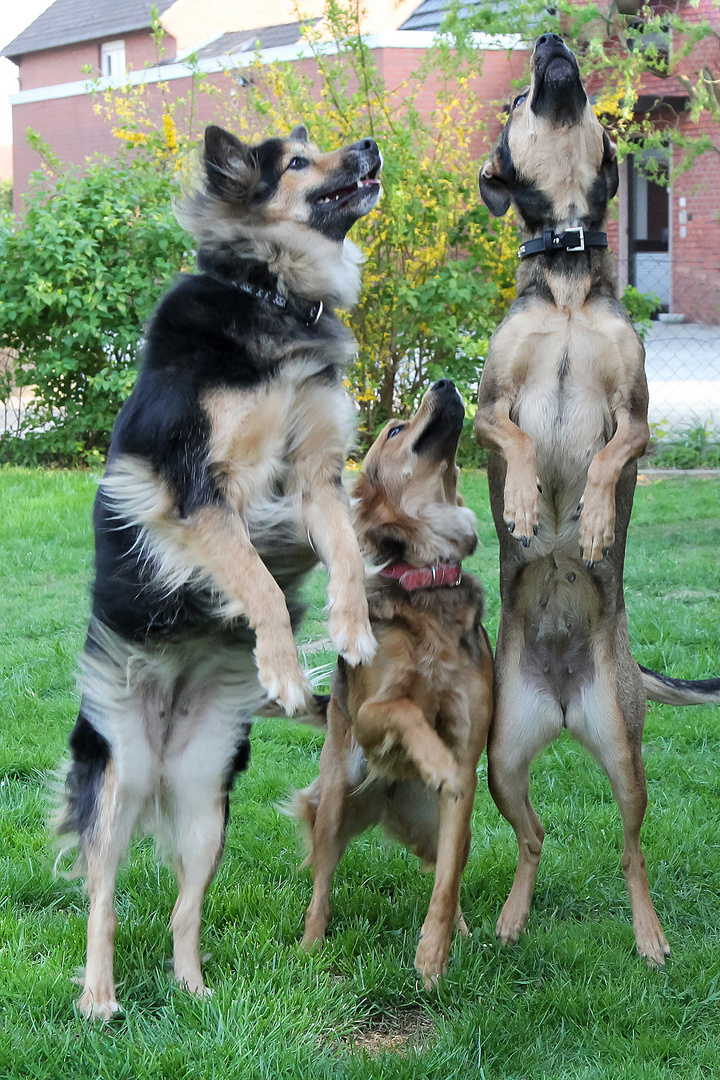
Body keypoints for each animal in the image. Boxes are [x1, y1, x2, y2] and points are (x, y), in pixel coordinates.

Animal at [56, 122, 386, 1015]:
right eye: (298, 161)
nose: (369, 147)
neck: (272, 295)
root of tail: (166, 742)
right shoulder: (193, 493)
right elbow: (260, 586)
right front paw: (283, 670)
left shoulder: (313, 478)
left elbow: (345, 556)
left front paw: (351, 630)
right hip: (119, 773)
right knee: (102, 898)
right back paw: (99, 999)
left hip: (206, 795)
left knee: (183, 908)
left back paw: (196, 992)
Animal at [289, 380, 492, 989]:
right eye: (395, 430)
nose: (444, 383)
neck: (428, 582)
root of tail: (386, 798)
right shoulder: (371, 712)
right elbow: (406, 710)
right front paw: (436, 761)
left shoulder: (469, 744)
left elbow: (445, 886)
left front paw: (432, 959)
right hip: (334, 802)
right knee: (321, 885)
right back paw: (310, 948)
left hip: (441, 825)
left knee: (446, 870)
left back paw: (464, 935)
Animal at [472, 33, 720, 967]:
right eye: (517, 102)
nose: (550, 45)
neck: (572, 284)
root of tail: (565, 700)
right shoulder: (486, 403)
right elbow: (515, 442)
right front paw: (525, 514)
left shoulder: (639, 414)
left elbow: (610, 458)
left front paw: (595, 523)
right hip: (502, 759)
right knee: (533, 836)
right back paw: (509, 919)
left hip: (624, 751)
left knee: (630, 850)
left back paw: (649, 936)